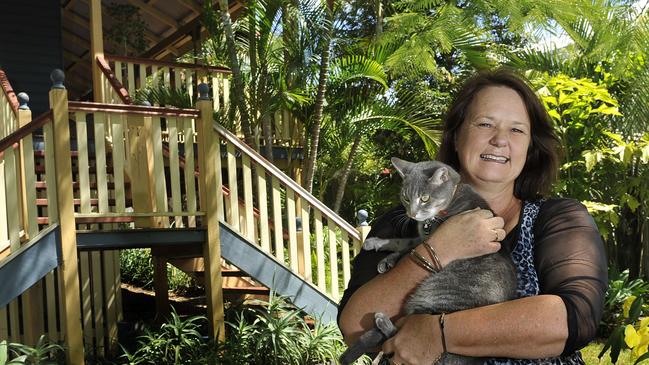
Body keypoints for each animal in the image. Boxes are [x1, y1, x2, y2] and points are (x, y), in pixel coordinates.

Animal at [340, 157, 516, 364]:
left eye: (425, 198)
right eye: (406, 198)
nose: (412, 214)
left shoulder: (427, 236)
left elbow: (408, 247)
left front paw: (388, 257)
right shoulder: (421, 236)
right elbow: (404, 241)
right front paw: (377, 244)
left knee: (398, 332)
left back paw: (383, 322)